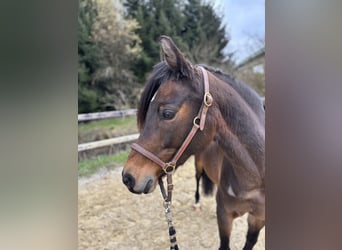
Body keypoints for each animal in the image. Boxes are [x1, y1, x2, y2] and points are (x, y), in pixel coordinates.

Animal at [121, 35, 266, 250]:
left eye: (168, 113)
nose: (128, 177)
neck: (255, 179)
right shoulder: (224, 215)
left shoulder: (258, 219)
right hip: (198, 164)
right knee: (198, 179)